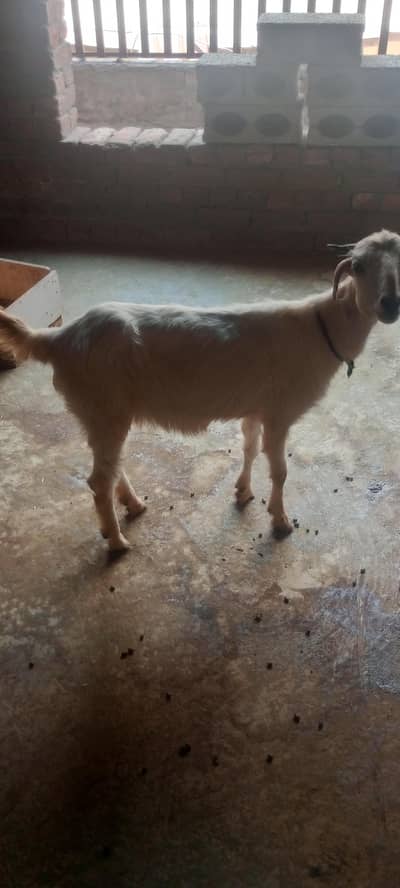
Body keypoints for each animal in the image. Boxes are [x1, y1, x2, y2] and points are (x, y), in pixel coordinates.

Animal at [0, 230, 399, 552]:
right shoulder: (279, 413)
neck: (324, 327)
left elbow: (249, 447)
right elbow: (280, 470)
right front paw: (281, 521)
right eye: (358, 266)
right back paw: (116, 541)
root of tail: (57, 338)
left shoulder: (256, 408)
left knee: (111, 467)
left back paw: (133, 504)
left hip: (102, 414)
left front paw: (243, 491)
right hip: (103, 408)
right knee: (99, 480)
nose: (390, 304)